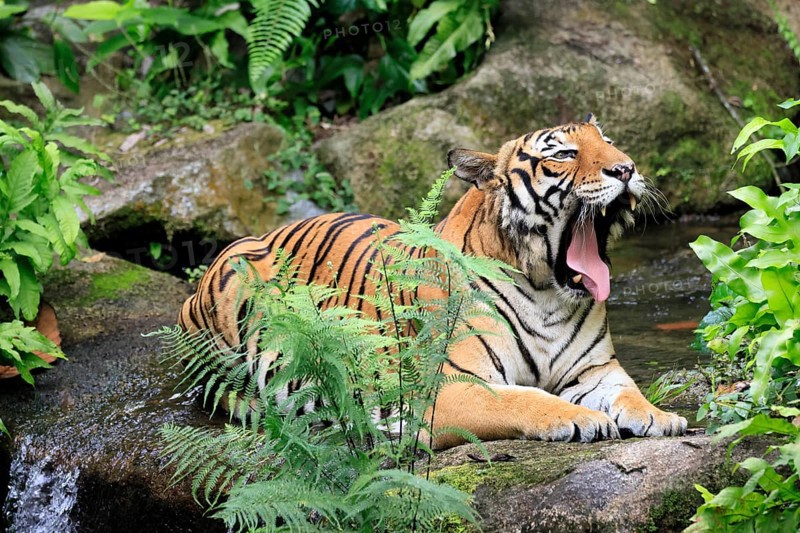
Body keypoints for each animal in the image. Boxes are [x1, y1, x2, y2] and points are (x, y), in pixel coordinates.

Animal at [178, 115, 688, 450]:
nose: (626, 168)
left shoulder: (596, 370)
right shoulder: (450, 385)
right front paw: (581, 418)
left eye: (611, 143)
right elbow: (524, 401)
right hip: (232, 292)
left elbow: (628, 392)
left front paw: (661, 417)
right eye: (563, 154)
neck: (548, 293)